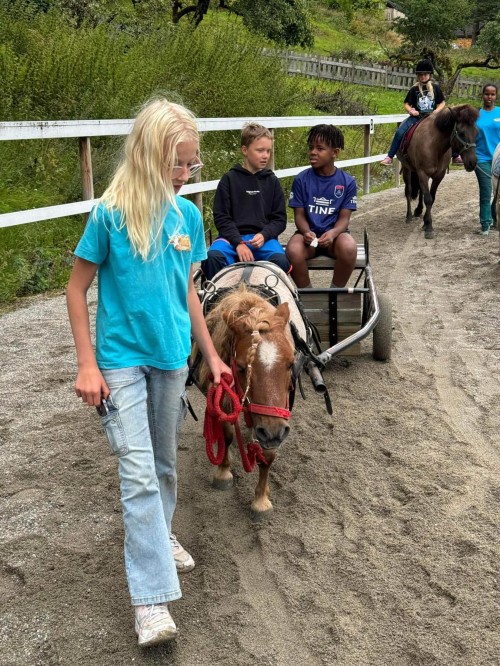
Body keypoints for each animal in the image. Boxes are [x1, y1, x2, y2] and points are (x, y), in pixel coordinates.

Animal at [194, 286, 296, 520]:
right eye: (241, 367)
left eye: (290, 364)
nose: (273, 432)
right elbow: (226, 433)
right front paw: (223, 472)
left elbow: (268, 453)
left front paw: (261, 500)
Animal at [398, 104, 480, 239]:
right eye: (461, 133)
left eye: (476, 132)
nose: (472, 163)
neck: (435, 145)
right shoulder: (422, 173)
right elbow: (428, 199)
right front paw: (429, 228)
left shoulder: (438, 176)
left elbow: (432, 198)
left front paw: (426, 222)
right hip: (407, 169)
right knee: (409, 191)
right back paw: (409, 215)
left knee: (420, 191)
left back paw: (418, 211)